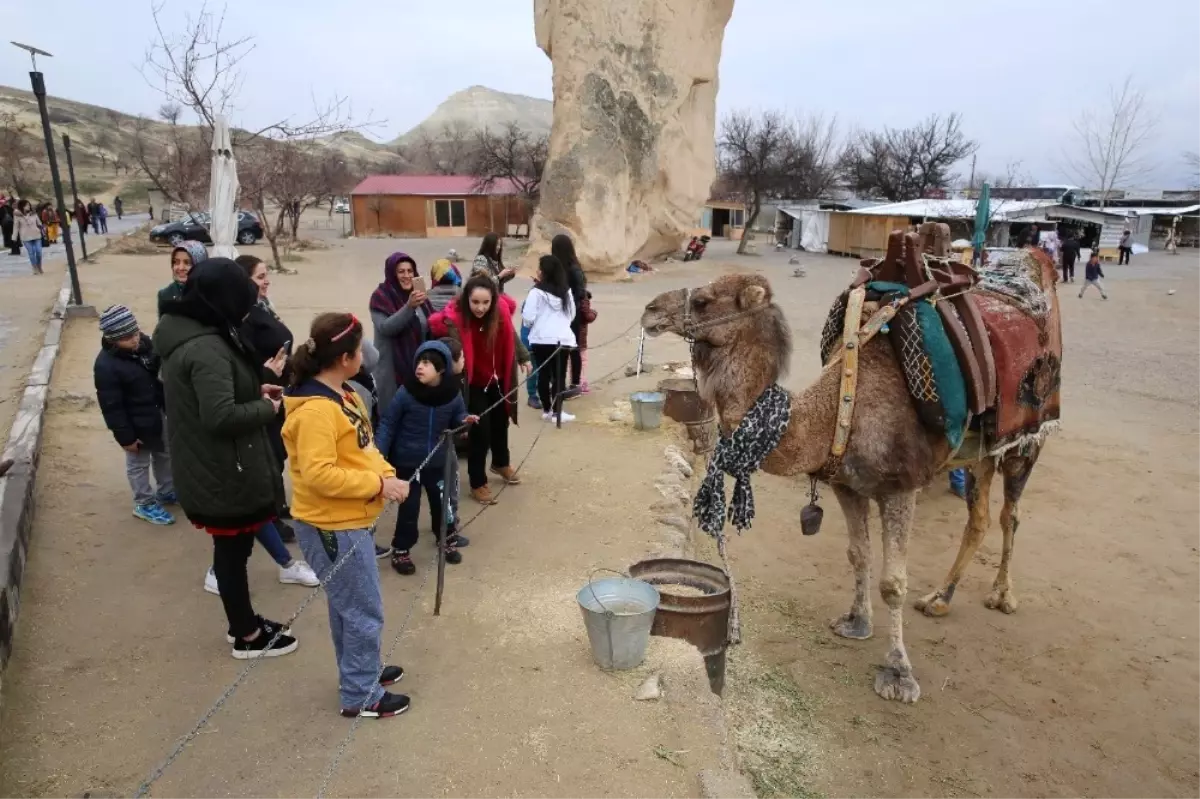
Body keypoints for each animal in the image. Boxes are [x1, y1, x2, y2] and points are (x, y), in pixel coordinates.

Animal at [643, 239, 1065, 700]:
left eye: (703, 301)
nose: (650, 309)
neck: (840, 410)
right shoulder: (847, 484)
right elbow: (858, 555)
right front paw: (857, 622)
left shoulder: (902, 486)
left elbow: (893, 582)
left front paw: (898, 672)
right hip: (981, 452)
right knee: (980, 516)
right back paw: (940, 598)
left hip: (1029, 438)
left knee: (1010, 515)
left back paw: (1003, 595)